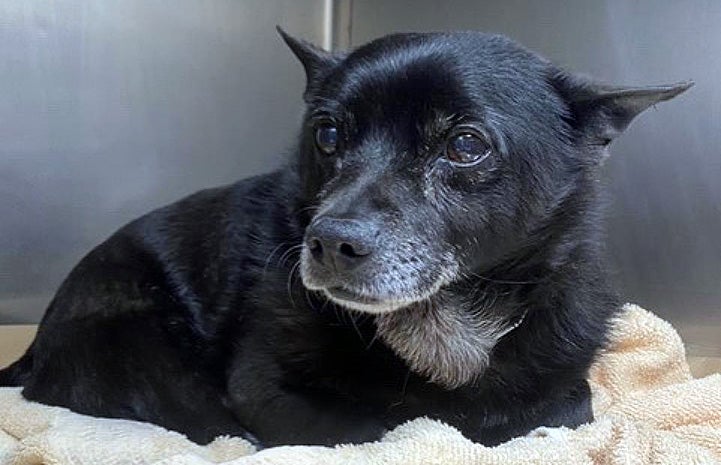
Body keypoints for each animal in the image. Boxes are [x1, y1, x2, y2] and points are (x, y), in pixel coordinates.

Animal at [0, 29, 688, 446]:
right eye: (327, 133)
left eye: (465, 144)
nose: (329, 243)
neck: (440, 323)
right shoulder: (269, 391)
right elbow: (383, 422)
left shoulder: (569, 393)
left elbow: (563, 407)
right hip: (149, 349)